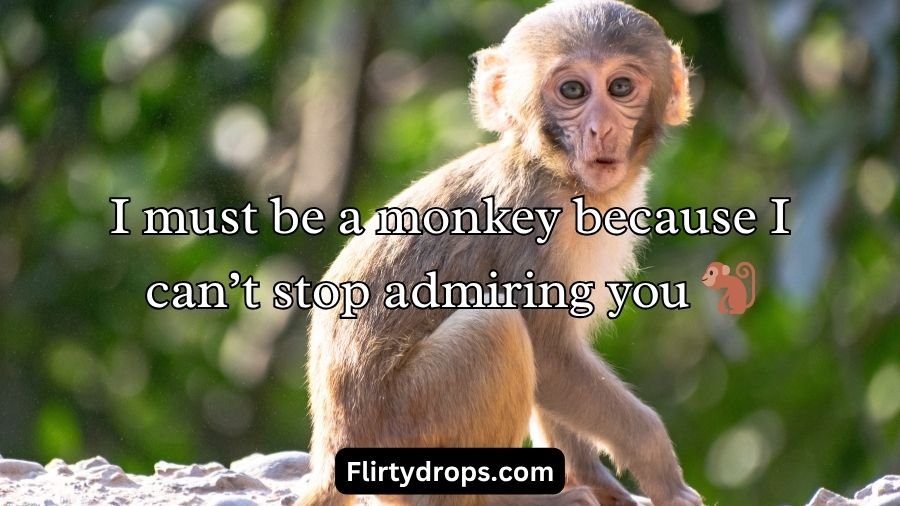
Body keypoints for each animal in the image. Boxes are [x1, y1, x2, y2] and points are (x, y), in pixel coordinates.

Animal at [297, 1, 703, 505]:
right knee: (496, 326)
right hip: (404, 423)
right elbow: (550, 356)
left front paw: (594, 479)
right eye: (573, 90)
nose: (601, 128)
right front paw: (664, 475)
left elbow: (557, 366)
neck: (558, 174)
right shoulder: (531, 221)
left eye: (621, 87)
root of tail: (332, 448)